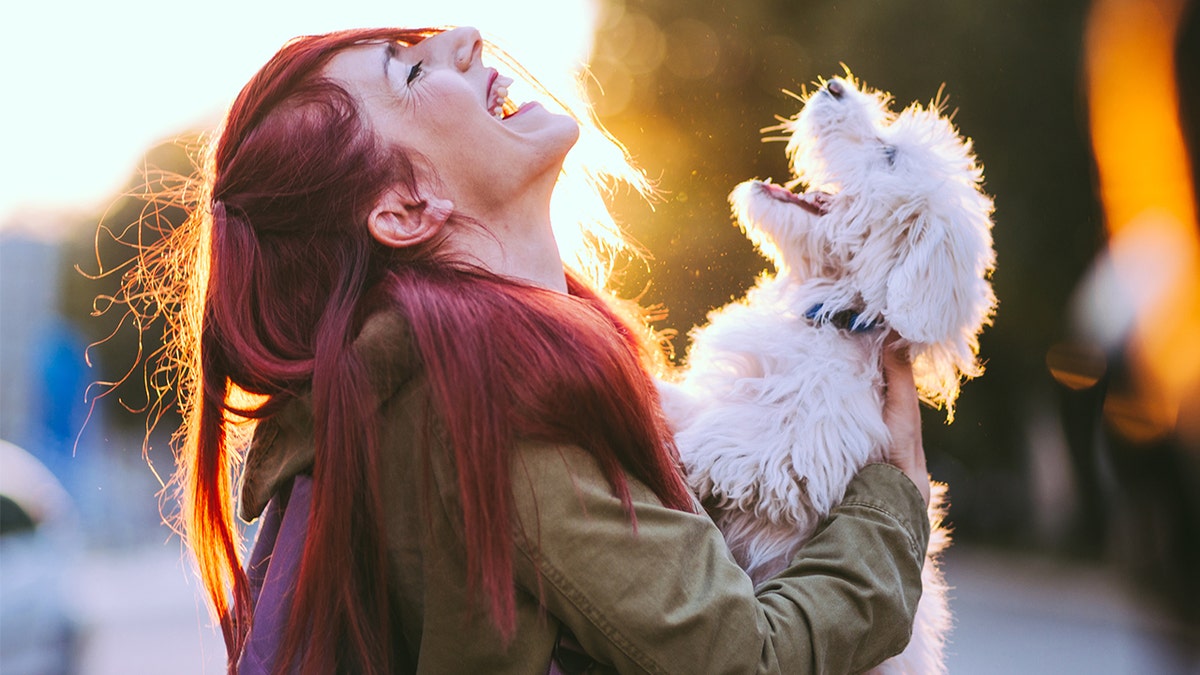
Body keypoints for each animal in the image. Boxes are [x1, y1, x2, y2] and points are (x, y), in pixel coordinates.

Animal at [662, 73, 998, 672]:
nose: (836, 86)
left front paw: (692, 450)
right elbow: (696, 403)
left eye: (889, 156)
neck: (832, 313)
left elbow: (748, 441)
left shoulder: (815, 446)